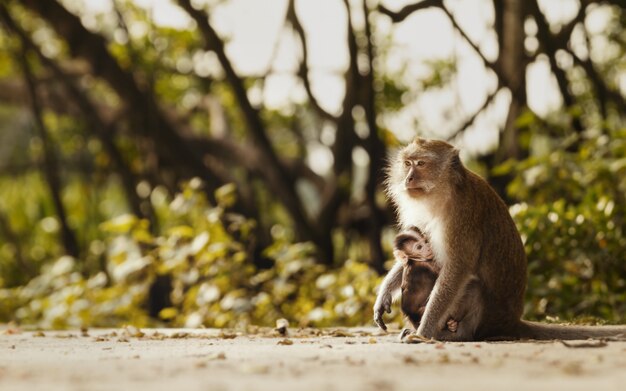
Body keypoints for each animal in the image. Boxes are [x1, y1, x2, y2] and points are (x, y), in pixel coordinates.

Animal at [372, 139, 620, 344]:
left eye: (421, 163)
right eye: (407, 163)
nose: (408, 178)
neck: (445, 192)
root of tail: (511, 321)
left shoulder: (462, 218)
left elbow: (457, 269)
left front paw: (423, 333)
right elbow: (410, 258)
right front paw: (383, 295)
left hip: (486, 318)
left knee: (472, 287)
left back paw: (455, 334)